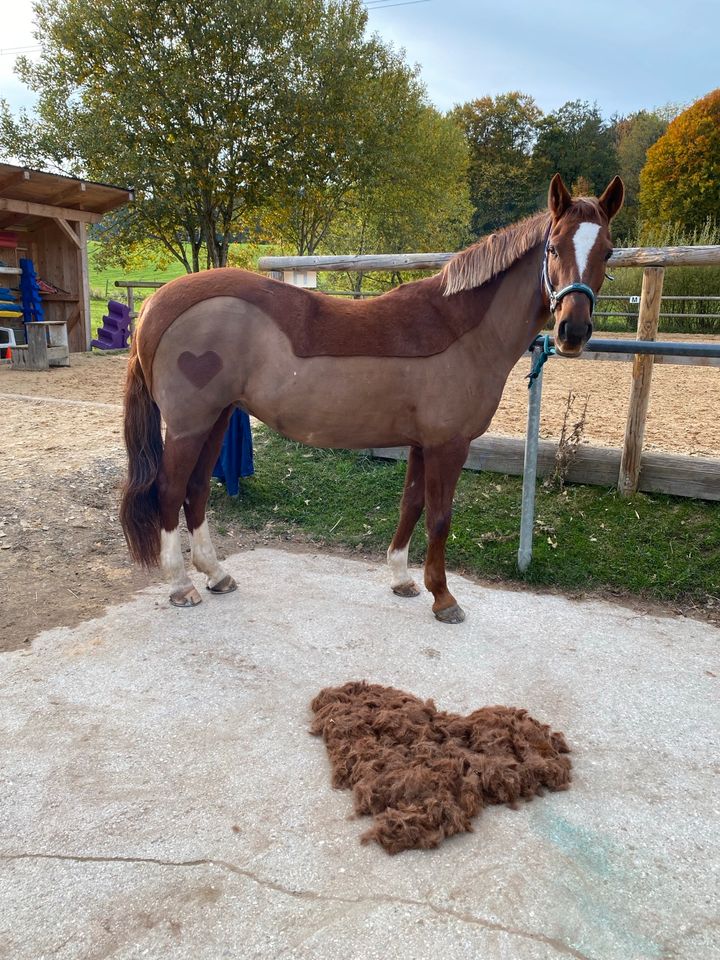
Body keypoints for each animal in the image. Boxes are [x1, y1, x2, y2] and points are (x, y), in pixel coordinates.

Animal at [121, 172, 620, 624]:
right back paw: (181, 585)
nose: (573, 331)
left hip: (218, 419)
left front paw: (403, 579)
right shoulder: (448, 446)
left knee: (197, 490)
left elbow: (412, 505)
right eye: (553, 248)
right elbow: (440, 517)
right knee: (170, 491)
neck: (462, 330)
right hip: (188, 426)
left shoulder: (422, 445)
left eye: (607, 252)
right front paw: (444, 598)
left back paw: (216, 574)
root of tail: (155, 305)